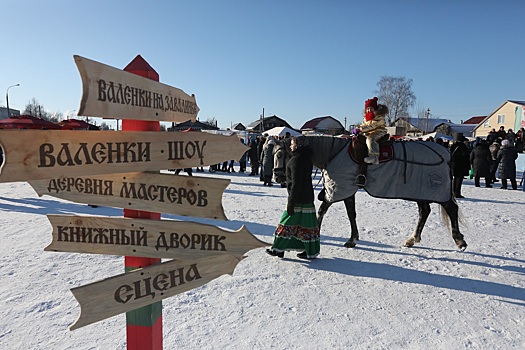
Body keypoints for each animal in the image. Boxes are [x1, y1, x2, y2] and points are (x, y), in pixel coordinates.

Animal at [294, 135, 466, 252]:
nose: (283, 175)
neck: (333, 153)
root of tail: (446, 153)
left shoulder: (340, 189)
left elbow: (323, 210)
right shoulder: (347, 189)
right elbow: (351, 214)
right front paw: (353, 238)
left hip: (434, 191)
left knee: (451, 209)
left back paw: (459, 240)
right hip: (420, 192)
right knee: (425, 211)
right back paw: (412, 239)